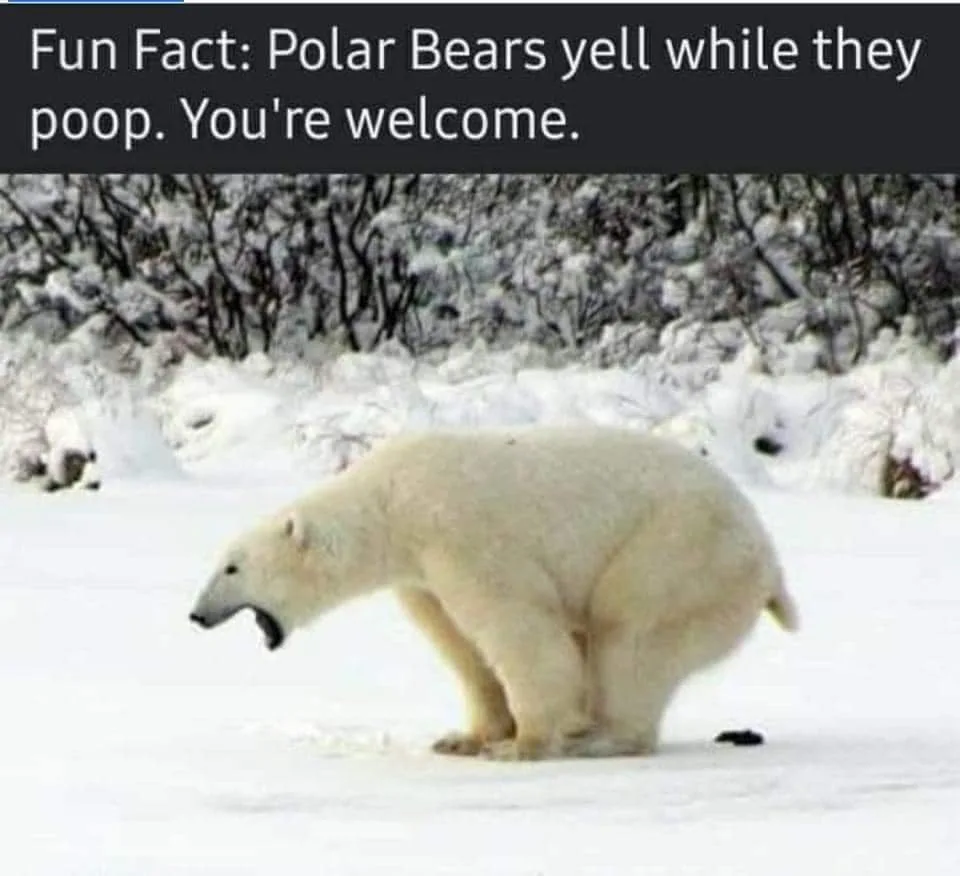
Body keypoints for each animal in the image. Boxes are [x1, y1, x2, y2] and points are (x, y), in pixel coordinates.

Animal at [189, 426, 799, 761]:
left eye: (232, 567)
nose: (196, 615)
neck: (391, 503)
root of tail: (769, 559)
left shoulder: (461, 532)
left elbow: (517, 626)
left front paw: (522, 744)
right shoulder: (422, 575)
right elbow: (460, 644)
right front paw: (464, 738)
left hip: (682, 549)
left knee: (630, 633)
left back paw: (599, 736)